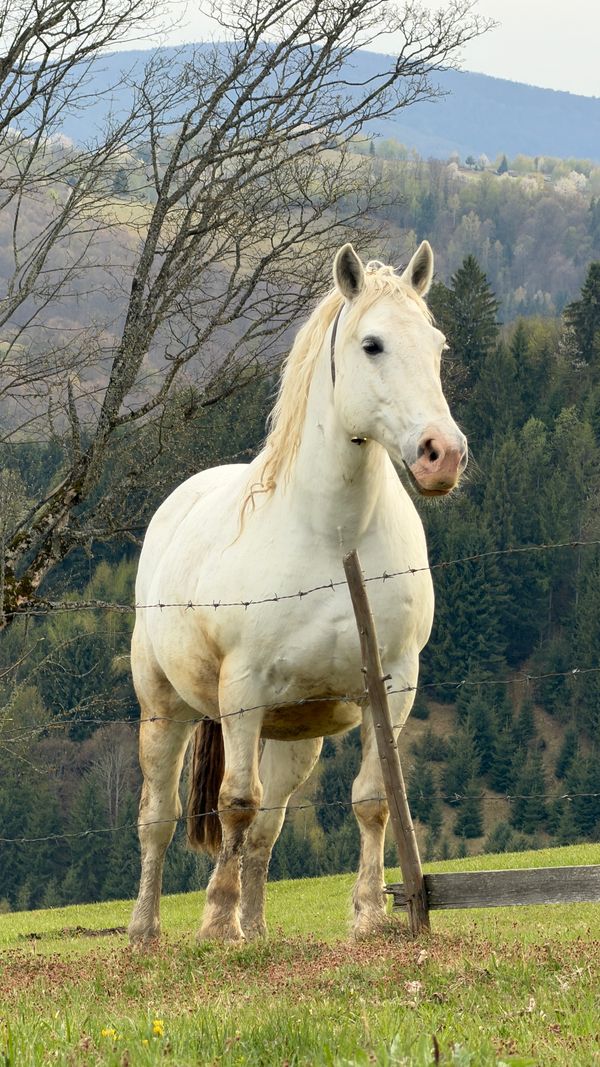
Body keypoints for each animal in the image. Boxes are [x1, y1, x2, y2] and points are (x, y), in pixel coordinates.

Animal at [128, 241, 467, 945]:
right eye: (372, 344)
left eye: (437, 345)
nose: (441, 455)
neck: (333, 538)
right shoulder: (243, 691)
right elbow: (233, 803)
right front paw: (216, 923)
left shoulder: (393, 686)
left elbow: (371, 801)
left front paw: (369, 917)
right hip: (167, 710)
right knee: (160, 817)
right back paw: (146, 931)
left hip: (292, 737)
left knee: (267, 828)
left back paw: (256, 930)